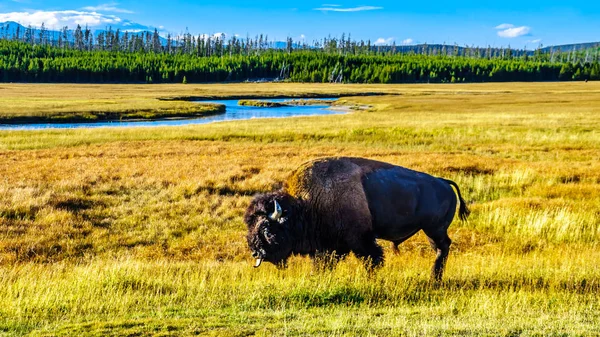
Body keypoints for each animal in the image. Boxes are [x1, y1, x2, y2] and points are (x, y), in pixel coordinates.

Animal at [244, 156, 468, 280]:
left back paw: (434, 278)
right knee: (442, 248)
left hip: (434, 229)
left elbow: (372, 258)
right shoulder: (328, 246)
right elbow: (324, 263)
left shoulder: (360, 239)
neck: (304, 205)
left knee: (441, 248)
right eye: (249, 227)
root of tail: (443, 182)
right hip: (432, 230)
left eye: (267, 230)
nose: (256, 252)